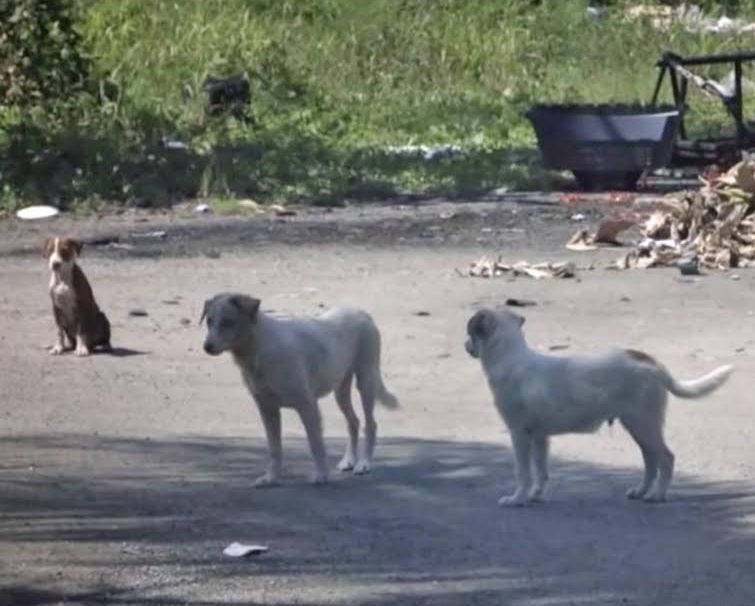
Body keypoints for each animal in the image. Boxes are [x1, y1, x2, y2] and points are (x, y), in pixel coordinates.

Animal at [201, 294, 402, 490]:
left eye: (228, 322)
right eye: (209, 321)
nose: (207, 347)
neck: (260, 347)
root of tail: (361, 312)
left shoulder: (307, 406)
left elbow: (315, 444)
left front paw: (321, 475)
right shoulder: (267, 409)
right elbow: (274, 448)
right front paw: (271, 478)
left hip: (366, 382)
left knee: (370, 424)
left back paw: (364, 463)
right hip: (340, 389)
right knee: (353, 421)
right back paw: (349, 461)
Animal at [466, 312, 732, 506]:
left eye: (470, 332)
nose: (465, 344)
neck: (510, 357)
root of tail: (650, 361)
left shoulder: (519, 435)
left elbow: (522, 471)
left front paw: (517, 498)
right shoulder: (540, 438)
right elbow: (540, 470)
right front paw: (535, 496)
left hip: (644, 425)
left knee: (666, 458)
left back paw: (657, 495)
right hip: (638, 428)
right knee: (650, 460)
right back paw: (642, 491)